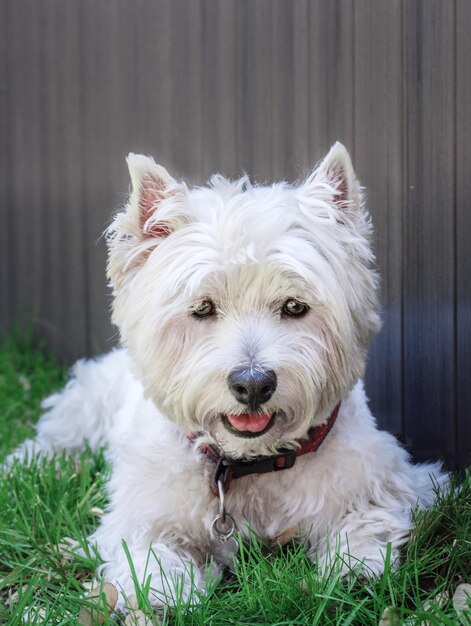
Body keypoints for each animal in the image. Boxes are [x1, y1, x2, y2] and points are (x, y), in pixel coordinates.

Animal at [12, 143, 446, 604]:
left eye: (295, 306)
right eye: (203, 308)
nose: (252, 385)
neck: (246, 465)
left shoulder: (399, 481)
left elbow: (369, 518)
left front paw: (355, 569)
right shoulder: (141, 514)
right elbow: (150, 549)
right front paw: (165, 591)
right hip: (88, 405)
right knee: (54, 438)